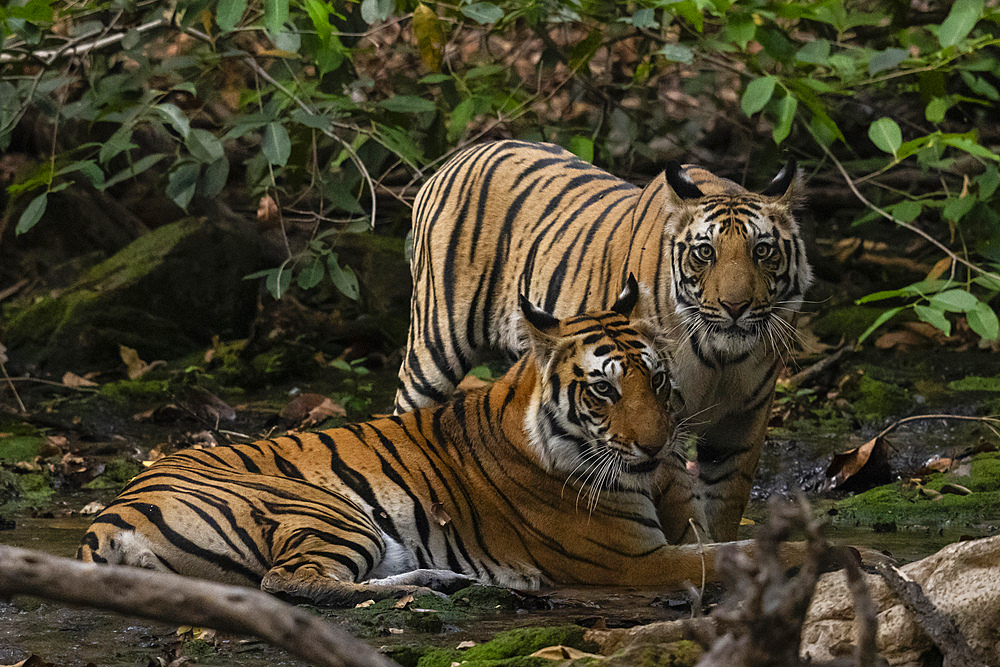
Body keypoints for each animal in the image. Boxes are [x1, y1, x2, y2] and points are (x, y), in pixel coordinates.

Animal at [76, 280, 796, 608]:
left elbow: (716, 539)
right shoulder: (628, 560)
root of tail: (106, 521)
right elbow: (725, 556)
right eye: (602, 391)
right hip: (324, 508)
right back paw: (433, 586)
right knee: (294, 581)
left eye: (659, 382)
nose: (652, 448)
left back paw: (443, 578)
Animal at [392, 140, 812, 544]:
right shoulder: (661, 415)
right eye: (705, 252)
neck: (722, 357)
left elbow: (725, 503)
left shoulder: (742, 421)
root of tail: (454, 160)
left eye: (762, 250)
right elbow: (680, 503)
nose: (735, 307)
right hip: (433, 350)